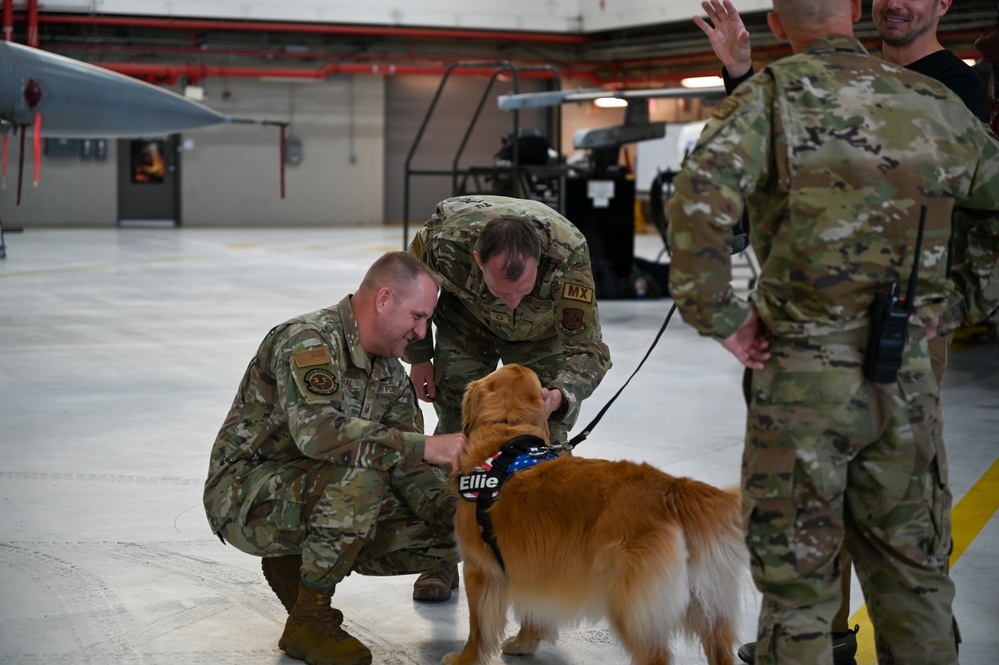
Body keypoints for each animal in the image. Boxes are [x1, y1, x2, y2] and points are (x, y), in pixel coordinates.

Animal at [442, 364, 748, 664]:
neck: (506, 430)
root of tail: (672, 487)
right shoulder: (534, 565)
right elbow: (534, 609)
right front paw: (524, 643)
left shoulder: (480, 569)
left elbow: (478, 626)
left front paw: (465, 658)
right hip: (704, 605)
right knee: (719, 648)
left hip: (631, 606)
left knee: (656, 655)